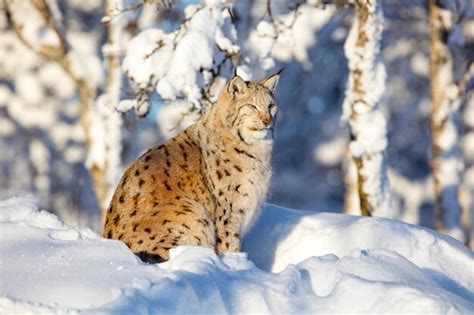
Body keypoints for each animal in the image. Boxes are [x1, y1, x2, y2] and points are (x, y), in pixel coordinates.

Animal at [103, 72, 280, 264]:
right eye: (252, 106)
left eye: (271, 106)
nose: (267, 121)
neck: (255, 145)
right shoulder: (229, 211)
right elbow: (229, 244)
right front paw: (235, 264)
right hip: (192, 215)